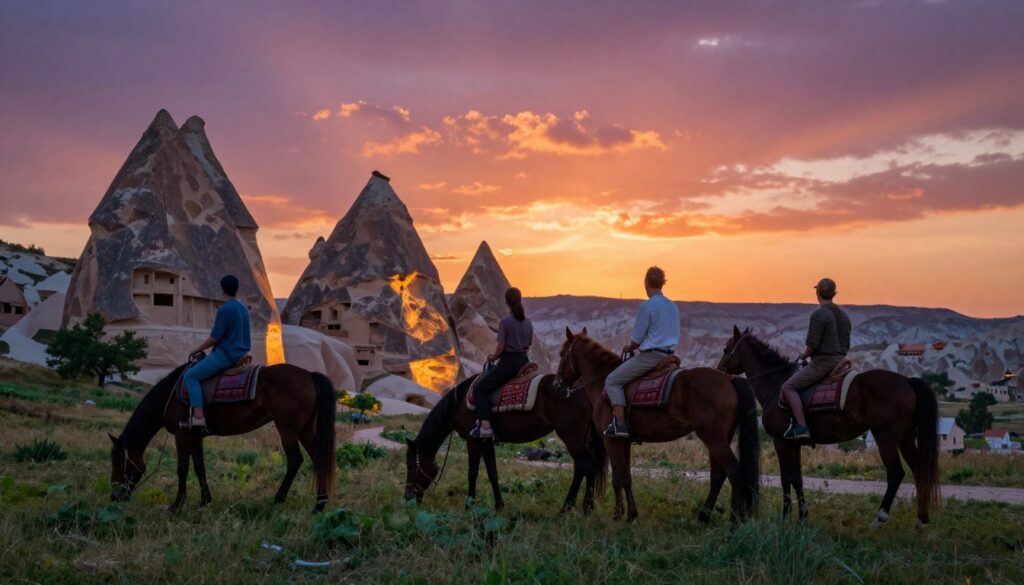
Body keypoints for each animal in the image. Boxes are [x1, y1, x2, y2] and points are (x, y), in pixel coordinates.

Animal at [108, 361, 337, 513]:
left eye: (118, 461)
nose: (114, 496)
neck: (170, 395)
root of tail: (309, 375)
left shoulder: (182, 435)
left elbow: (182, 469)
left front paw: (177, 504)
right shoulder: (195, 436)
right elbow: (199, 467)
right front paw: (204, 500)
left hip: (287, 429)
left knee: (295, 460)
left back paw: (279, 499)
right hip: (304, 429)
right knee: (318, 458)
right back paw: (319, 505)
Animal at [404, 373, 606, 513]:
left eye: (411, 466)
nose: (407, 498)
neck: (458, 403)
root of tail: (583, 390)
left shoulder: (473, 441)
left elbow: (472, 473)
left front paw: (469, 504)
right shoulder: (485, 441)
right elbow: (492, 472)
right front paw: (498, 505)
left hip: (570, 436)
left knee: (585, 465)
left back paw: (574, 507)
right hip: (580, 437)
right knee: (585, 467)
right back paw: (580, 507)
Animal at [556, 328, 761, 523]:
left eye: (561, 354)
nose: (557, 385)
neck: (602, 382)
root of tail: (730, 379)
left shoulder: (611, 440)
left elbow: (617, 478)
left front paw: (617, 515)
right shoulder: (624, 442)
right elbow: (627, 477)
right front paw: (631, 515)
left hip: (714, 439)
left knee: (735, 474)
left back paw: (734, 523)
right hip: (721, 439)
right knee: (718, 475)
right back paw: (705, 517)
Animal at [716, 326, 940, 528]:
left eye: (726, 349)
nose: (719, 371)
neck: (776, 383)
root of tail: (908, 381)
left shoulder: (781, 442)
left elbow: (786, 479)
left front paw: (784, 518)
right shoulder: (794, 444)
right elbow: (797, 479)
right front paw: (802, 518)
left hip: (886, 438)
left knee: (895, 473)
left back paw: (880, 518)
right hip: (905, 438)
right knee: (918, 468)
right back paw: (922, 520)